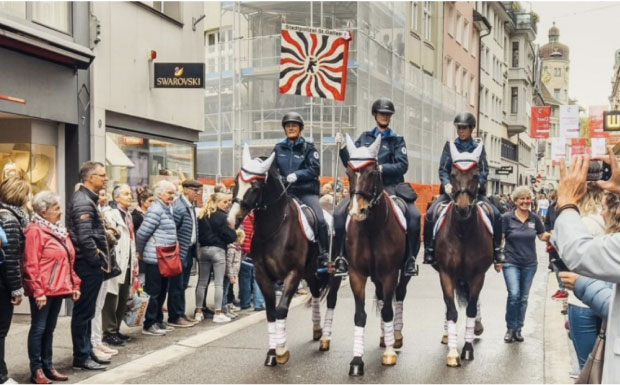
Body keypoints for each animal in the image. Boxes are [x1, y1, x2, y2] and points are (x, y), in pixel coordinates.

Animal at [340, 134, 412, 376]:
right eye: (348, 172)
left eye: (372, 172)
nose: (357, 211)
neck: (372, 228)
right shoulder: (357, 274)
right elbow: (360, 315)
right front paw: (356, 361)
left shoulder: (389, 273)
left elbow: (389, 310)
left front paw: (389, 354)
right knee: (381, 298)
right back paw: (384, 337)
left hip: (401, 274)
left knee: (398, 297)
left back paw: (394, 338)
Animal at [432, 141, 494, 366]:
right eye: (452, 173)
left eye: (476, 175)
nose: (463, 209)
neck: (463, 233)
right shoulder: (446, 274)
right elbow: (451, 310)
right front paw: (452, 353)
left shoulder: (477, 275)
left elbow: (470, 308)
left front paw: (467, 349)